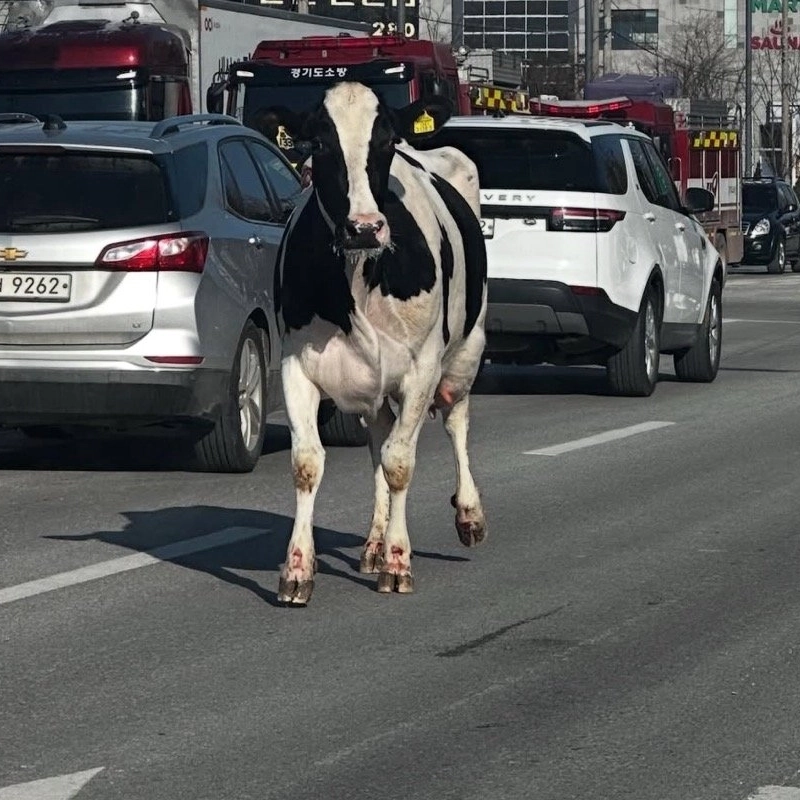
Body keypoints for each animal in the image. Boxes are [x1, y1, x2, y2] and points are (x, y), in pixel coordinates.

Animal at [276, 83, 488, 608]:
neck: (358, 274)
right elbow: (308, 463)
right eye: (319, 143)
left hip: (465, 354)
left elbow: (399, 464)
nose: (365, 226)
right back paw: (372, 542)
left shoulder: (422, 369)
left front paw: (398, 561)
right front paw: (298, 569)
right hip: (370, 385)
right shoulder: (296, 364)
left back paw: (468, 513)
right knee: (379, 435)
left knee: (455, 423)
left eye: (386, 143)